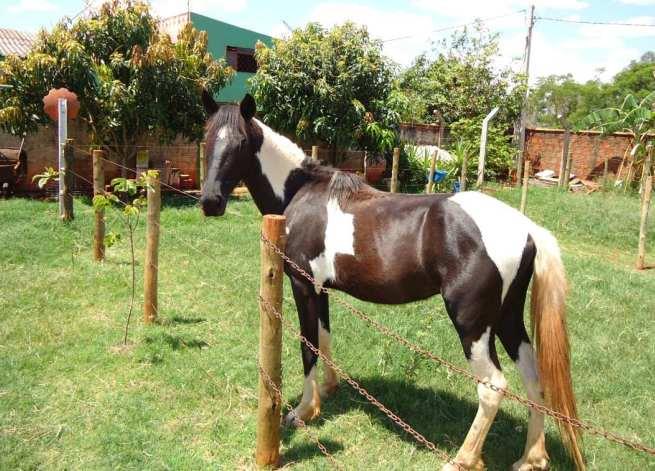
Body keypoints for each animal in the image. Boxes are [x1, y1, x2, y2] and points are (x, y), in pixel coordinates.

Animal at [199, 91, 585, 471]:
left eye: (241, 143)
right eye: (206, 138)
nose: (210, 202)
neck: (301, 194)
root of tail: (526, 228)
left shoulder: (303, 286)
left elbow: (308, 346)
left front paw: (304, 411)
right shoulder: (322, 290)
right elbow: (324, 338)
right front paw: (329, 390)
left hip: (472, 323)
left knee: (493, 386)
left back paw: (462, 459)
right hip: (507, 317)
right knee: (534, 378)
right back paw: (532, 457)